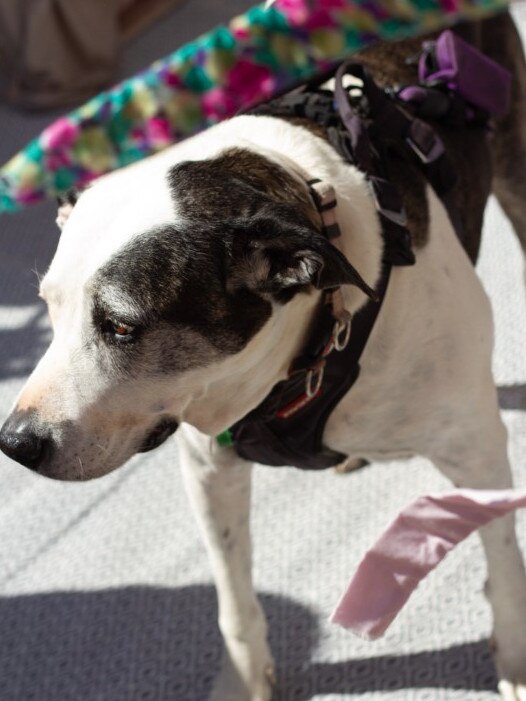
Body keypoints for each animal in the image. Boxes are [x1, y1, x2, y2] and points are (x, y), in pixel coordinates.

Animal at [1, 10, 526, 700]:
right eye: (49, 310)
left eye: (119, 326)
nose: (15, 442)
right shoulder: (209, 465)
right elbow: (234, 600)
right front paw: (244, 679)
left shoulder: (476, 450)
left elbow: (504, 559)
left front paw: (515, 658)